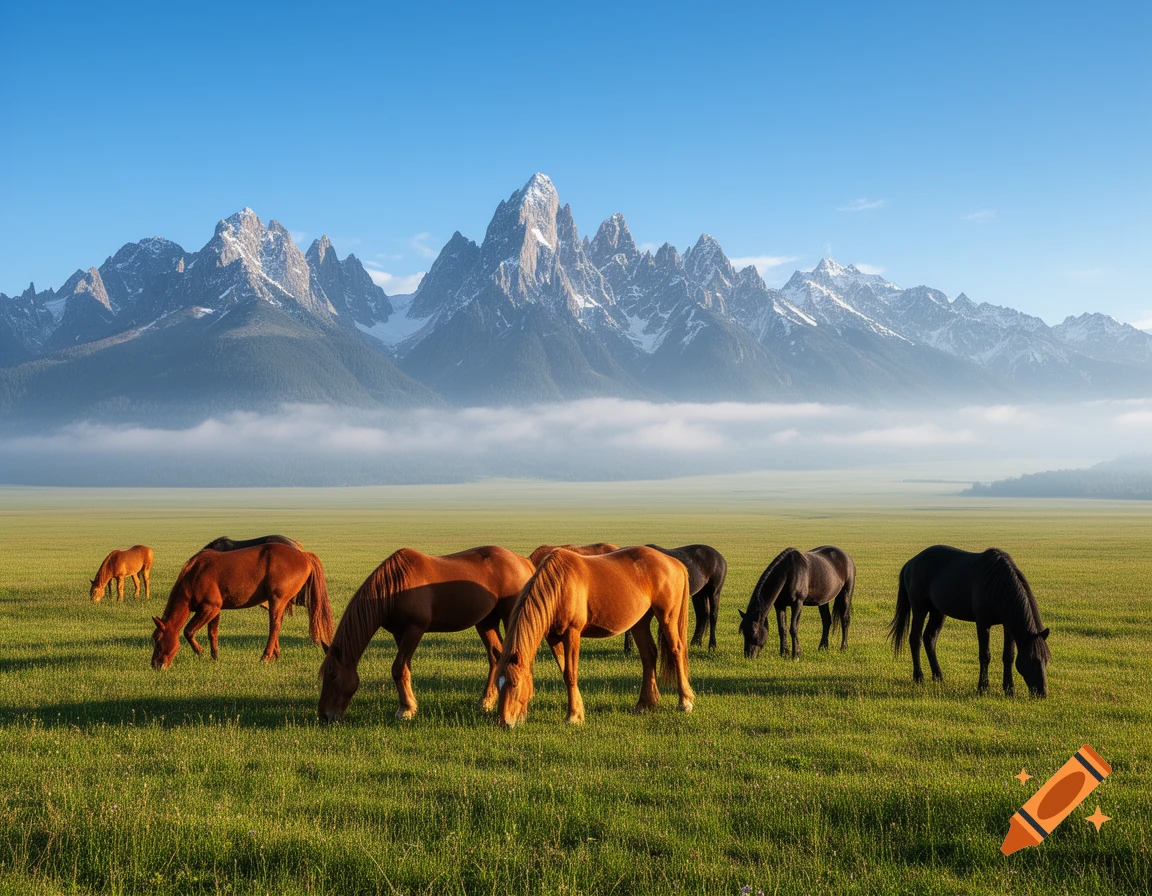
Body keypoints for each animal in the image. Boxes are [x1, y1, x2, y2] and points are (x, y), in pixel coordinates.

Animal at [151, 542, 332, 669]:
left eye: (158, 640)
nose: (155, 665)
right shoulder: (215, 610)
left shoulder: (209, 608)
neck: (194, 574)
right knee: (277, 626)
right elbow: (212, 633)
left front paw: (200, 651)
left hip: (277, 600)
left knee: (274, 626)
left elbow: (188, 631)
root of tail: (303, 555)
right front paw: (214, 657)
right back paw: (275, 654)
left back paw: (266, 656)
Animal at [318, 546, 535, 722]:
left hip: (510, 615)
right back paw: (485, 702)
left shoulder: (415, 629)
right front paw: (409, 705)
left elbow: (398, 668)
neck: (395, 585)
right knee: (495, 657)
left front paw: (405, 711)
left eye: (333, 676)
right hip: (486, 621)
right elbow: (405, 669)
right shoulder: (399, 633)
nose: (325, 716)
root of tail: (523, 560)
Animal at [495, 546, 695, 728]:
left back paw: (685, 701)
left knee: (676, 650)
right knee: (648, 655)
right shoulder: (553, 637)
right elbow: (564, 671)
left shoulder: (572, 633)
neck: (560, 585)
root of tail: (674, 562)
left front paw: (573, 716)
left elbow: (570, 673)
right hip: (640, 621)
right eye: (498, 684)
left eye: (514, 684)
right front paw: (578, 710)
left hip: (667, 616)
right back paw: (645, 704)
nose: (503, 722)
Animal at [888, 545, 1050, 697]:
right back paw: (919, 677)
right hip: (919, 609)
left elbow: (1008, 656)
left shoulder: (1008, 625)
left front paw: (1009, 690)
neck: (998, 584)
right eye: (1032, 659)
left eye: (1046, 659)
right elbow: (985, 655)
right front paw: (983, 688)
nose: (1042, 693)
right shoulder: (982, 623)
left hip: (937, 612)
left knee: (930, 637)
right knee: (915, 639)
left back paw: (938, 675)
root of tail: (911, 562)